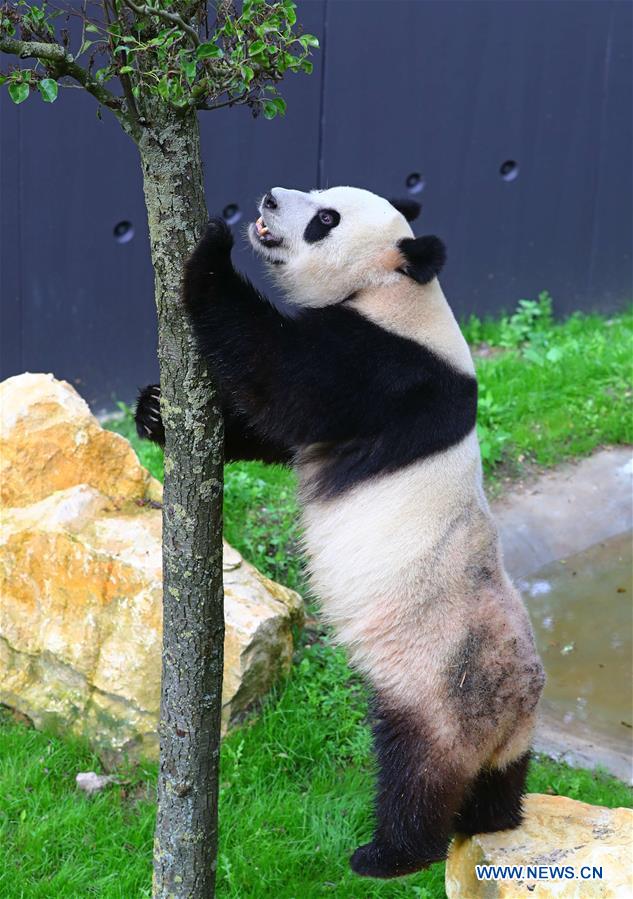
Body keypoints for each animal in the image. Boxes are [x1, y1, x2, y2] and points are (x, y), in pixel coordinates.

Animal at [136, 186, 545, 880]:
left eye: (325, 219)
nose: (270, 198)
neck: (398, 284)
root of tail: (515, 710)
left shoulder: (386, 369)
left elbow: (280, 379)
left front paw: (212, 248)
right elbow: (277, 430)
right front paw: (155, 414)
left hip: (439, 688)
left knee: (417, 774)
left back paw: (387, 855)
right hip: (504, 729)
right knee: (500, 783)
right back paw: (489, 820)